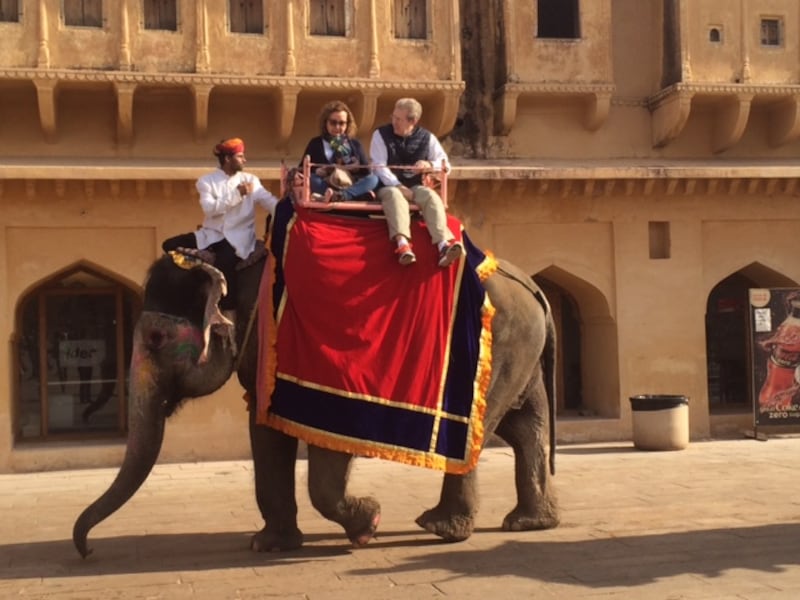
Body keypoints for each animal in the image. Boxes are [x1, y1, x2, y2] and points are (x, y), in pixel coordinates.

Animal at [73, 217, 559, 558]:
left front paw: (368, 523)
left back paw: (440, 529)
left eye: (156, 339)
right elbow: (265, 430)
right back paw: (529, 524)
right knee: (523, 427)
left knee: (484, 431)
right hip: (520, 348)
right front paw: (269, 545)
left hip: (500, 344)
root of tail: (534, 288)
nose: (87, 550)